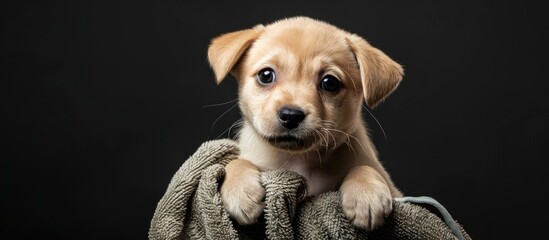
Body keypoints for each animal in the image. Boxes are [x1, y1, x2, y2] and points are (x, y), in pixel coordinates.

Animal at [206, 16, 402, 231]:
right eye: (266, 75)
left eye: (329, 82)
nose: (291, 115)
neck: (298, 160)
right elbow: (237, 162)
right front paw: (239, 190)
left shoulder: (396, 193)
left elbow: (363, 167)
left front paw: (365, 194)